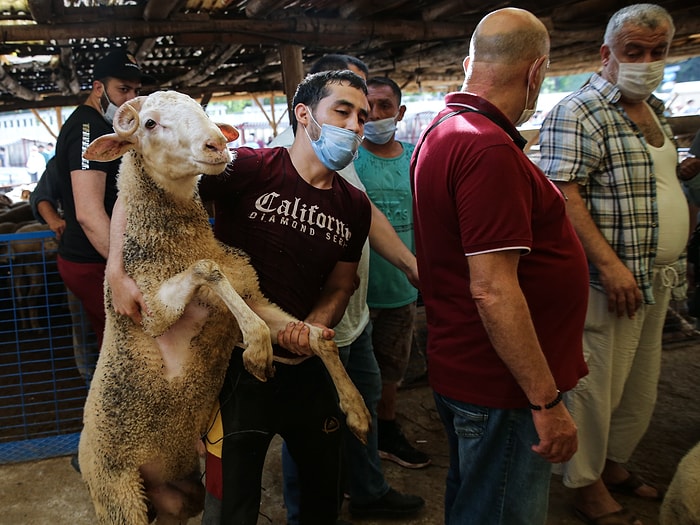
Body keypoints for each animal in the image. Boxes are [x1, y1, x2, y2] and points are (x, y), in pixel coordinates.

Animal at [78, 91, 372, 524]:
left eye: (202, 111)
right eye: (149, 123)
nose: (218, 145)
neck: (179, 244)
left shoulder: (253, 296)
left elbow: (320, 338)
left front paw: (358, 412)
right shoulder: (151, 312)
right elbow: (208, 269)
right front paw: (257, 349)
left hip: (182, 494)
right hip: (119, 496)